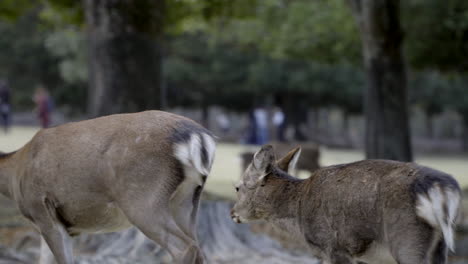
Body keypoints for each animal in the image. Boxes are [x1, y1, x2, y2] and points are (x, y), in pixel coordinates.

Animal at [0, 110, 217, 262]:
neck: (14, 172)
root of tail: (200, 136)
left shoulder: (41, 210)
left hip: (142, 198)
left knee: (184, 247)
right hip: (186, 201)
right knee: (198, 246)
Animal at [230, 145, 460, 262]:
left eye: (237, 187)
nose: (232, 213)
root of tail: (442, 189)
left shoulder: (334, 246)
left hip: (406, 240)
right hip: (439, 247)